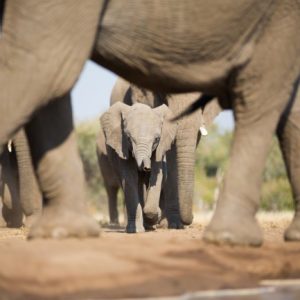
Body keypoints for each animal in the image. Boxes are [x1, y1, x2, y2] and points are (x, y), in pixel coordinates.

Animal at [99, 102, 177, 233]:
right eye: (128, 138)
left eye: (156, 139)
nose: (146, 167)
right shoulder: (123, 147)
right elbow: (130, 179)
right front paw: (135, 231)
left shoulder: (159, 150)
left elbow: (157, 177)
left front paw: (155, 217)